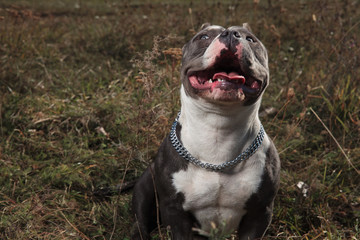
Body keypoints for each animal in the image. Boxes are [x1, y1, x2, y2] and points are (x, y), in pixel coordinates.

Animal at [132, 23, 282, 240]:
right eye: (203, 37)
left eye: (250, 39)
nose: (230, 34)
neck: (218, 131)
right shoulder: (174, 210)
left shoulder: (260, 212)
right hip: (145, 188)